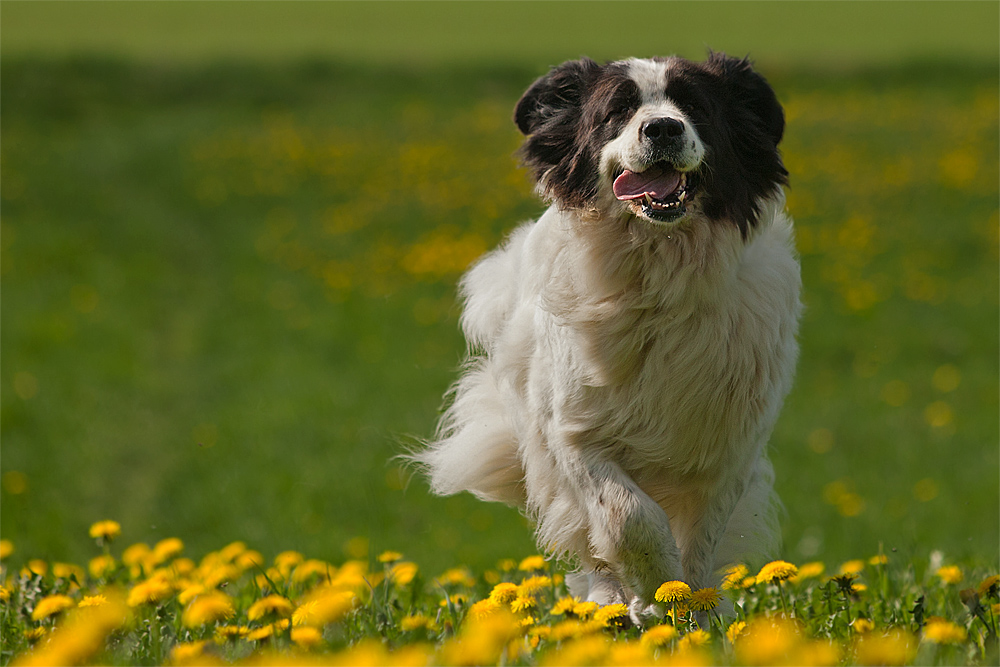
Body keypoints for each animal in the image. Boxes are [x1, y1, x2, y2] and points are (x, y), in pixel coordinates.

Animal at [410, 53, 800, 628]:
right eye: (617, 110)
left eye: (694, 105)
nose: (662, 128)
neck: (655, 276)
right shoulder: (573, 431)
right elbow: (627, 515)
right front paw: (656, 594)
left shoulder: (728, 442)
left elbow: (702, 535)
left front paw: (693, 609)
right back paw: (608, 603)